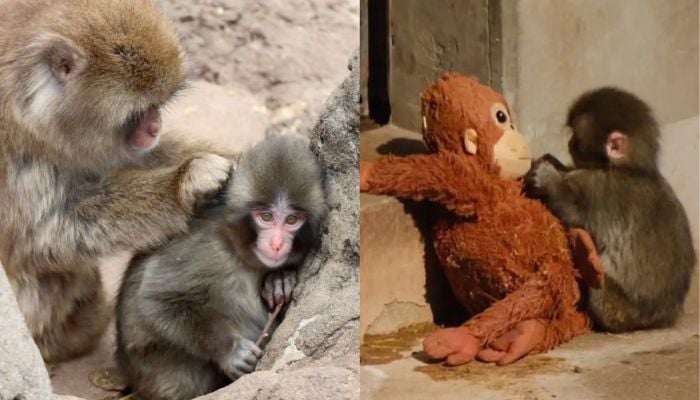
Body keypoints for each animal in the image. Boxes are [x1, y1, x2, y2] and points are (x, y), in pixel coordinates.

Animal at [0, 0, 234, 362]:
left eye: (158, 105)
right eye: (138, 113)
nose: (155, 126)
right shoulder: (17, 156)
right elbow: (41, 237)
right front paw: (182, 185)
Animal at [115, 134, 328, 400]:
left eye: (291, 220)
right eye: (266, 217)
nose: (277, 244)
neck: (240, 251)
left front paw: (279, 282)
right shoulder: (205, 250)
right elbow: (157, 298)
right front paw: (232, 351)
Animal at [525, 87, 696, 332]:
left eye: (576, 137)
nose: (569, 143)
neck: (629, 169)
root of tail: (660, 319)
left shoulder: (597, 189)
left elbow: (571, 209)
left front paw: (548, 178)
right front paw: (555, 163)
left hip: (616, 308)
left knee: (598, 284)